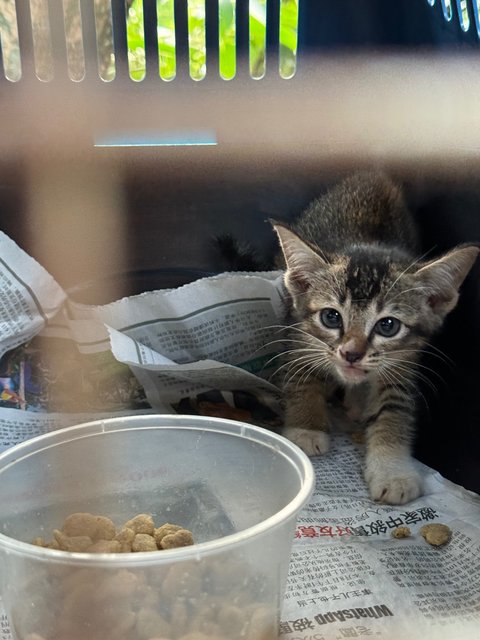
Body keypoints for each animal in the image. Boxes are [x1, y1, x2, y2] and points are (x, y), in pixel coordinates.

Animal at [272, 170, 478, 504]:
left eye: (388, 326)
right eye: (331, 317)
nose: (351, 354)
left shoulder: (404, 362)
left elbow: (393, 409)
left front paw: (393, 472)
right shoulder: (296, 331)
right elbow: (302, 376)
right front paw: (306, 428)